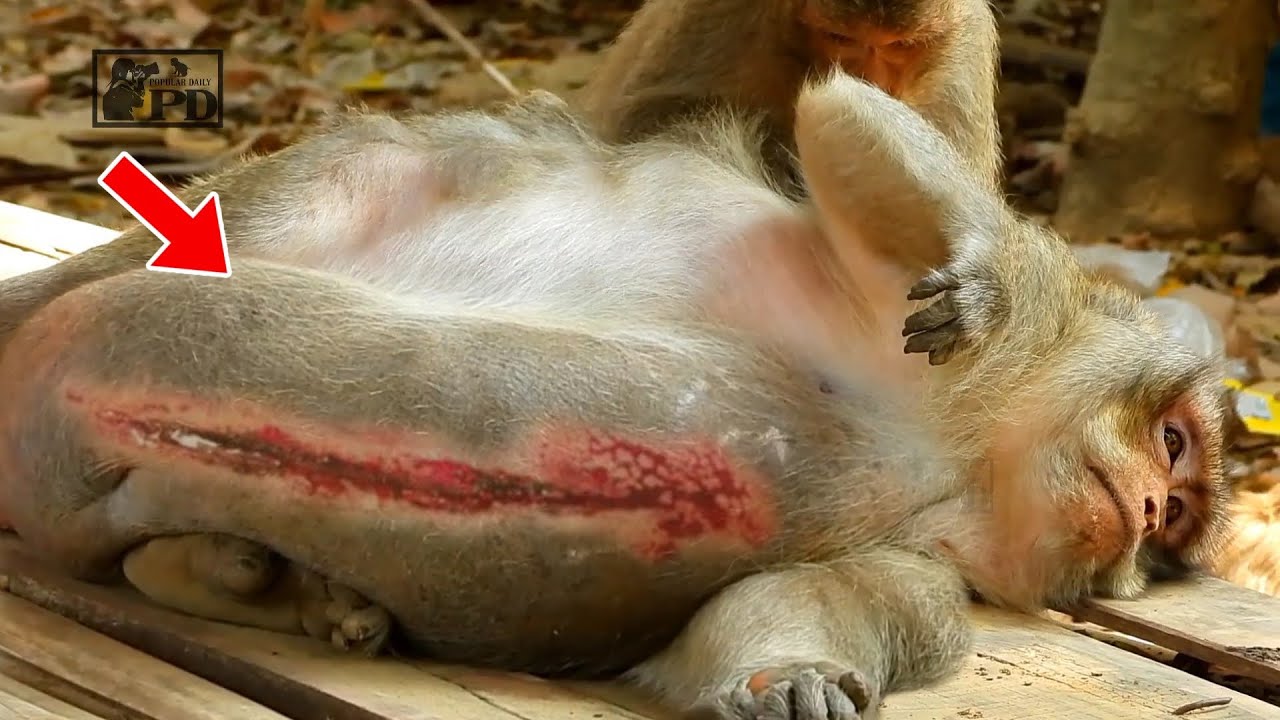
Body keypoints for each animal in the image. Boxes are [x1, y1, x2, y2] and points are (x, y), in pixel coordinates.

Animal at [0, 72, 1232, 719]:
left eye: (1172, 522)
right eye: (1174, 446)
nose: (1146, 515)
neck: (960, 463)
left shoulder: (930, 568)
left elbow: (776, 609)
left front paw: (784, 677)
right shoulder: (986, 335)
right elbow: (843, 123)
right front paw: (976, 273)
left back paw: (249, 577)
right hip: (269, 217)